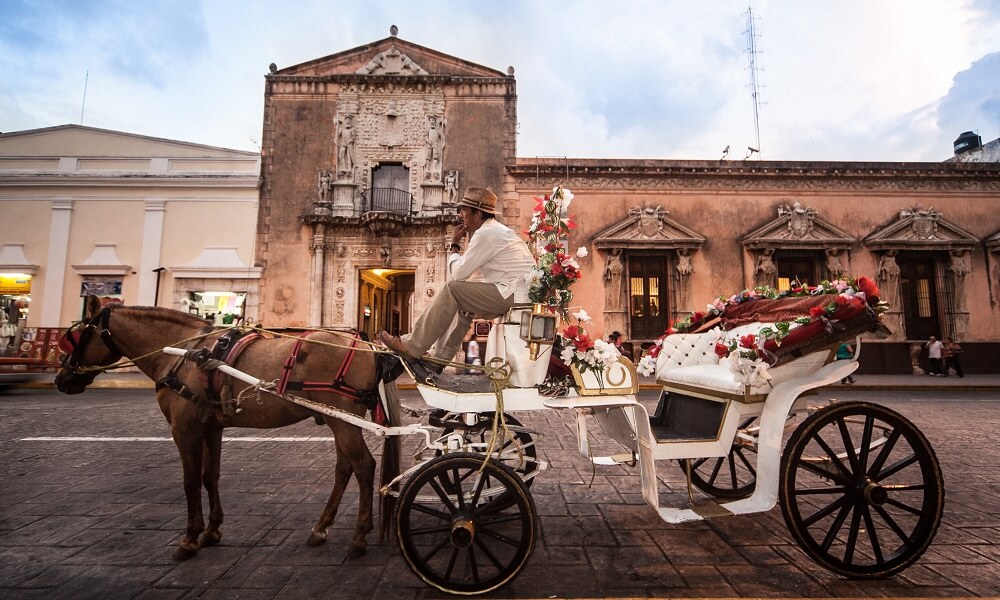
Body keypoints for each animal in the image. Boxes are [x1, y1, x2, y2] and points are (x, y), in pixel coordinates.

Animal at [55, 296, 402, 564]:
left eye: (78, 335)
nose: (62, 379)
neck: (183, 354)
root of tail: (369, 345)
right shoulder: (211, 427)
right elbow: (211, 475)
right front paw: (212, 531)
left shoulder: (184, 428)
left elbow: (190, 481)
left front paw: (189, 539)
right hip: (338, 419)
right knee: (345, 468)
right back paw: (320, 529)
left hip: (343, 420)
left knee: (364, 466)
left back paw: (359, 537)